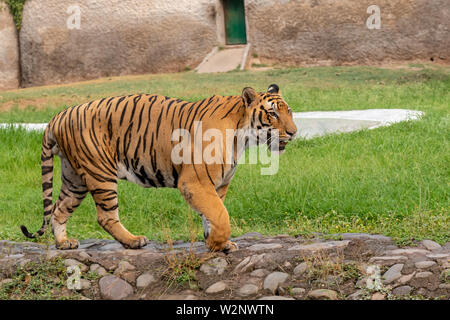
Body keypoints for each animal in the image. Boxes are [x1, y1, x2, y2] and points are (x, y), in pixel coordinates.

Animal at [21, 84, 298, 252]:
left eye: (290, 112)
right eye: (273, 114)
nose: (294, 132)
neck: (242, 136)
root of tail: (57, 117)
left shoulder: (217, 186)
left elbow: (211, 215)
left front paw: (217, 244)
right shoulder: (195, 182)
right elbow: (220, 215)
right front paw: (219, 243)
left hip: (75, 178)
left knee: (59, 209)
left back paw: (64, 243)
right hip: (99, 173)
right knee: (105, 216)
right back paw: (134, 241)